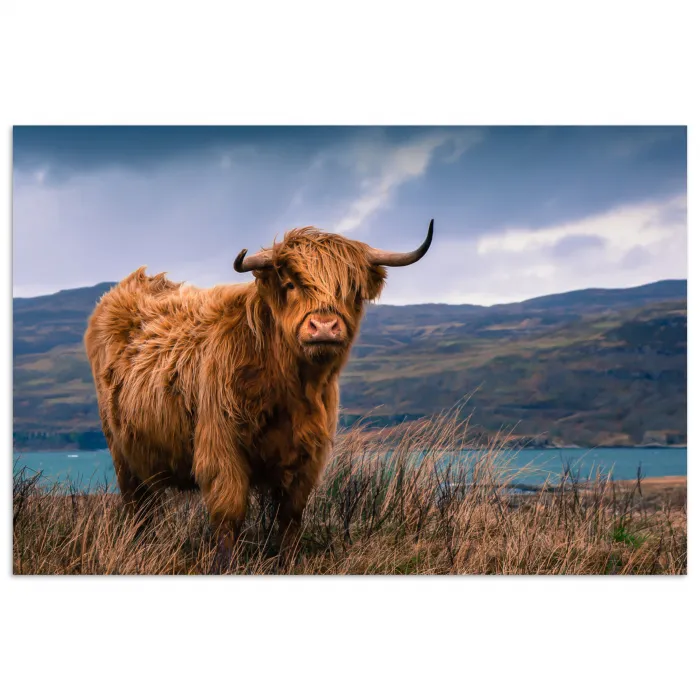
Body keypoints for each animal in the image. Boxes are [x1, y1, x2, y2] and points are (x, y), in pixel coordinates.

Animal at [84, 220, 434, 553]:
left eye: (352, 291)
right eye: (291, 285)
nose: (324, 327)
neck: (290, 387)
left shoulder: (307, 457)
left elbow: (291, 518)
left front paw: (288, 560)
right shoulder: (221, 448)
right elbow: (228, 517)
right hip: (122, 454)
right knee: (137, 508)